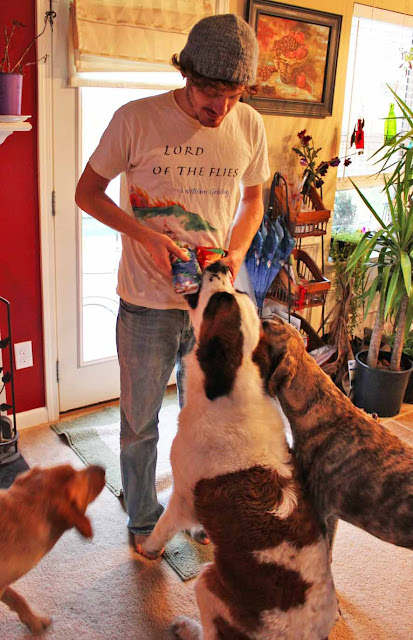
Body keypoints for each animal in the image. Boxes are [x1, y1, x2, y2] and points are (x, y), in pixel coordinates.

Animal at [137, 263, 338, 640]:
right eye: (238, 292)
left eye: (220, 301)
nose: (219, 265)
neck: (234, 380)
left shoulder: (184, 494)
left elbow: (164, 525)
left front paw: (149, 549)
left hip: (206, 583)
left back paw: (186, 627)